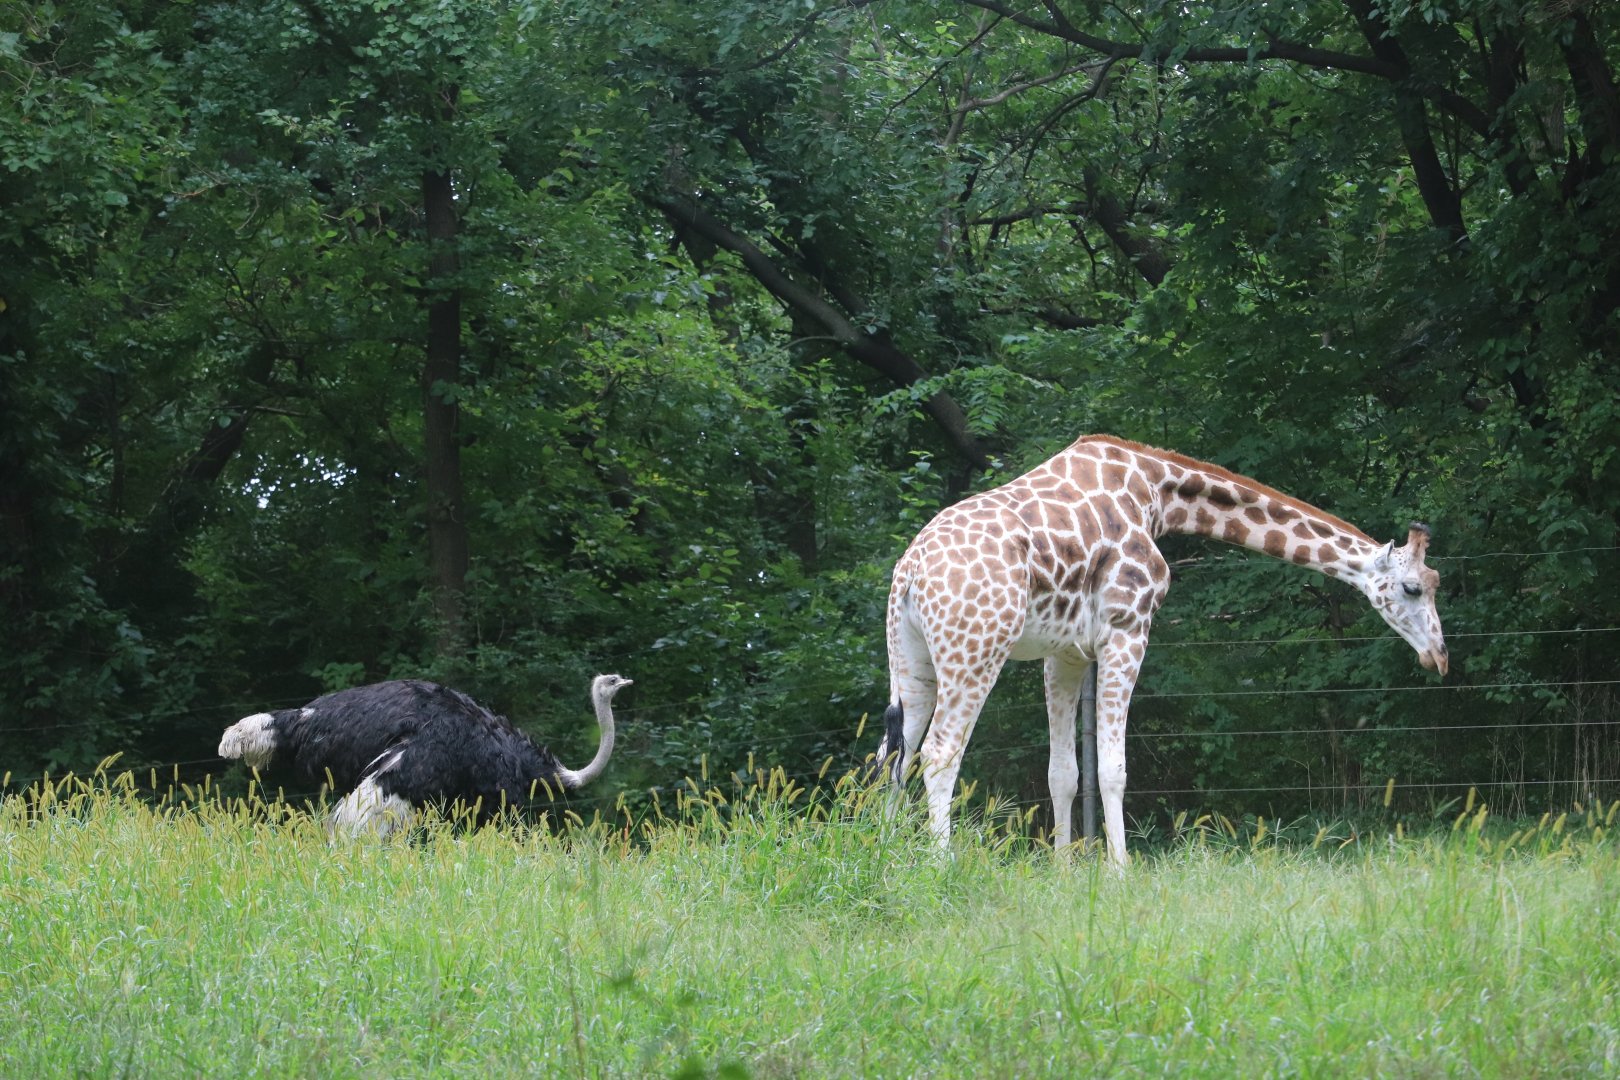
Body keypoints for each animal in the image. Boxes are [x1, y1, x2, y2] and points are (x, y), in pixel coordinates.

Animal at [875, 434, 1448, 865]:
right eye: (1413, 588)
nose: (1439, 657)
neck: (1156, 491)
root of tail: (910, 570)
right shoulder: (1128, 629)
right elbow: (1113, 769)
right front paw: (1120, 873)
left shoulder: (1066, 653)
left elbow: (1063, 773)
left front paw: (1063, 872)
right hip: (976, 650)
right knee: (939, 752)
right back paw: (940, 866)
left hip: (912, 660)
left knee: (891, 754)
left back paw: (881, 856)